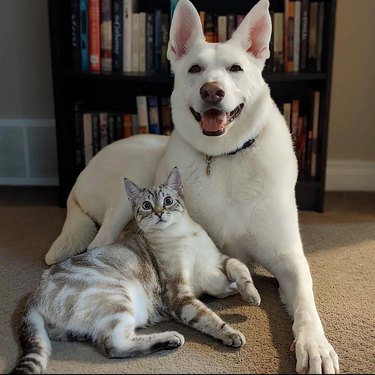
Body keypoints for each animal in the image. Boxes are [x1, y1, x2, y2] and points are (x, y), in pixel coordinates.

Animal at [11, 169, 262, 374]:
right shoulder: (178, 294)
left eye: (168, 201)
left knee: (108, 344)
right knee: (113, 345)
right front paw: (231, 334)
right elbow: (208, 317)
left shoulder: (217, 262)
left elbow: (239, 271)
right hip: (117, 298)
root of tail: (34, 296)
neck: (182, 233)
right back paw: (172, 338)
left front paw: (251, 296)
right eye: (147, 206)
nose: (159, 213)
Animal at [44, 1, 340, 374]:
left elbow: (305, 303)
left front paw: (315, 346)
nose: (211, 91)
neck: (224, 157)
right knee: (98, 244)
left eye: (236, 68)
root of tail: (77, 182)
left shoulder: (288, 258)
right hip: (134, 174)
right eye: (195, 69)